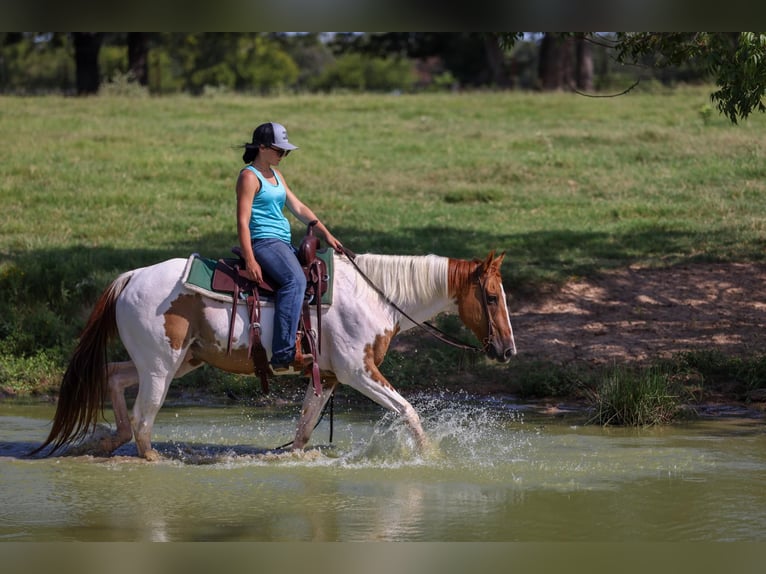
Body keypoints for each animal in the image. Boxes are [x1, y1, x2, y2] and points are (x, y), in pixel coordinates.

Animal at [33, 250, 516, 460]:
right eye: (492, 297)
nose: (508, 350)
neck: (376, 295)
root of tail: (131, 276)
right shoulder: (359, 372)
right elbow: (409, 411)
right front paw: (432, 459)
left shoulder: (330, 378)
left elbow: (303, 429)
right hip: (160, 367)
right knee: (143, 420)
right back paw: (149, 458)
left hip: (177, 361)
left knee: (114, 377)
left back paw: (105, 441)